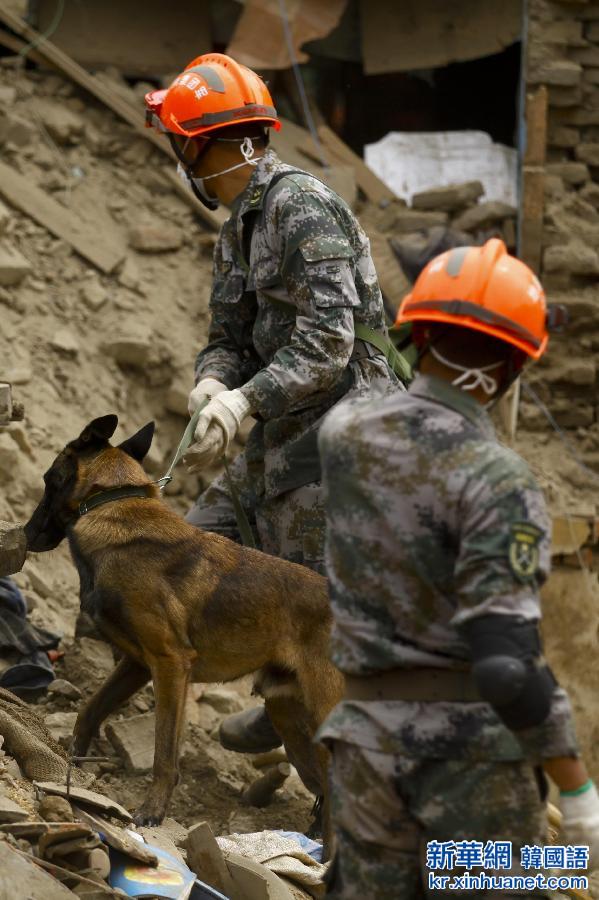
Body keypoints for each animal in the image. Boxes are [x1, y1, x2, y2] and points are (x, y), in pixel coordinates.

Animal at [23, 418, 344, 832]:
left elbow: (163, 753)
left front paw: (152, 812)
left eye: (48, 479)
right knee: (322, 784)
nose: (25, 535)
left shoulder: (171, 664)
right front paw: (71, 762)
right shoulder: (137, 664)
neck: (112, 502)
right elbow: (90, 709)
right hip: (288, 715)